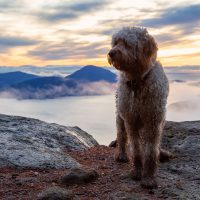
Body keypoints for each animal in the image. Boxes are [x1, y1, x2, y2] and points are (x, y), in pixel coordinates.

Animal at [107, 27, 173, 189]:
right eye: (116, 42)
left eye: (126, 43)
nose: (111, 53)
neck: (137, 81)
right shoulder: (131, 121)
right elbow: (136, 150)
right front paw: (137, 171)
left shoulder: (153, 121)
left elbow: (150, 151)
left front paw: (148, 177)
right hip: (120, 115)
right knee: (121, 135)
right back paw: (122, 154)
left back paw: (161, 152)